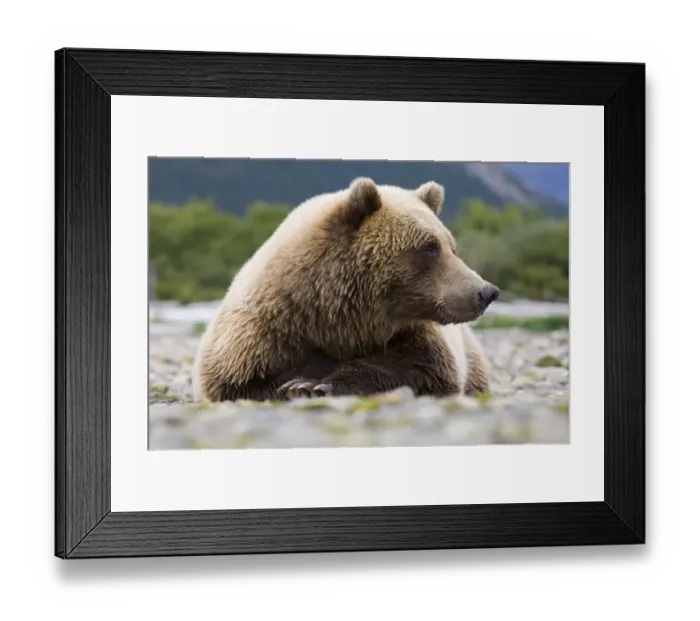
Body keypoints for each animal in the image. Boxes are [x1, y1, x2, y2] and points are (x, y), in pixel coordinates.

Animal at [192, 177, 500, 403]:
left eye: (451, 246)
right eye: (429, 248)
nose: (486, 292)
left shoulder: (410, 331)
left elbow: (425, 369)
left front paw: (317, 384)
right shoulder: (265, 329)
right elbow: (235, 381)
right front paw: (297, 384)